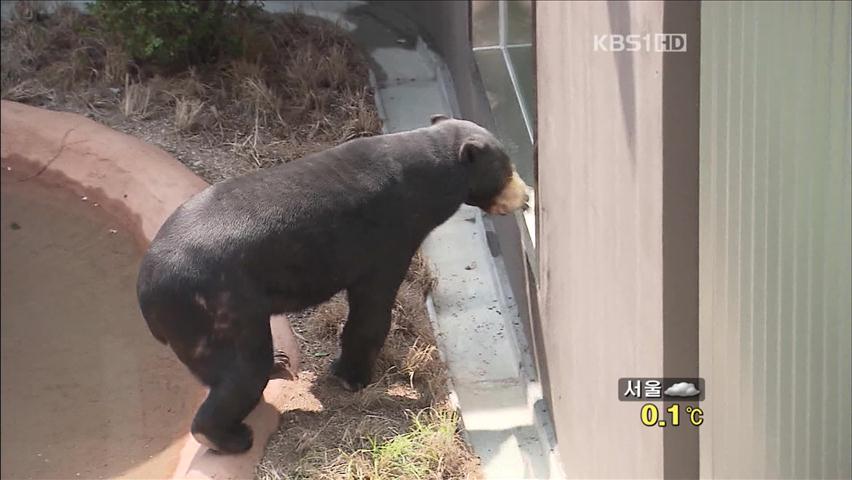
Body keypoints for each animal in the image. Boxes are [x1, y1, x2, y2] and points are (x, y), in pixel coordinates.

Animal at [135, 116, 524, 454]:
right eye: (507, 168)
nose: (526, 196)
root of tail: (146, 291)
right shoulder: (389, 238)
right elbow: (372, 310)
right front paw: (354, 377)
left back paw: (278, 364)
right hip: (218, 310)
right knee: (242, 370)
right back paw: (230, 436)